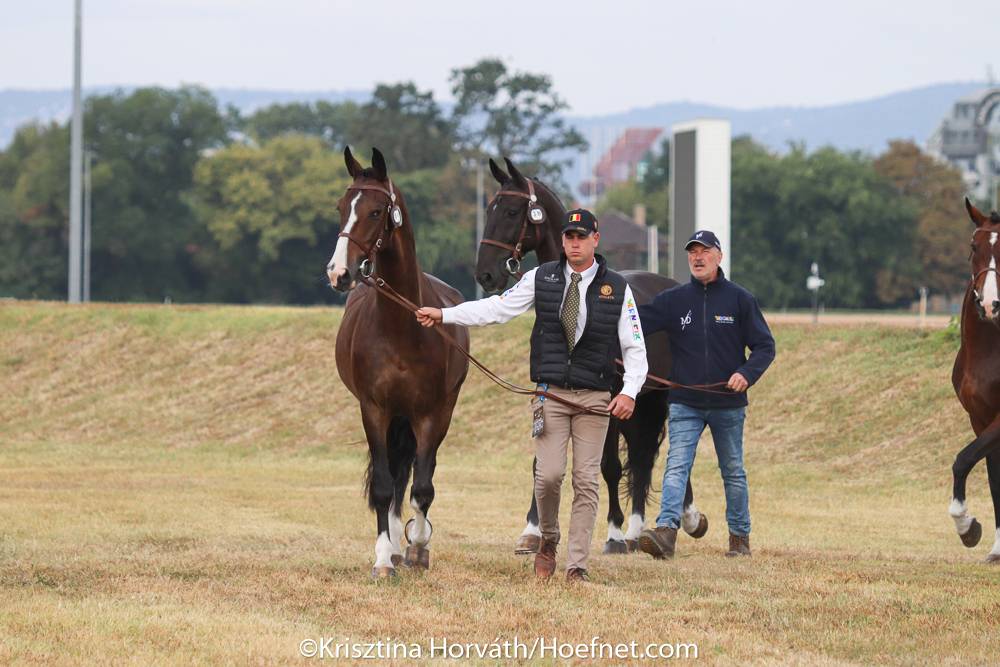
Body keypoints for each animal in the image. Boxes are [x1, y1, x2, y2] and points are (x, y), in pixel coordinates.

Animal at [326, 149, 470, 576]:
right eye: (341, 207)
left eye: (376, 211)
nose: (338, 273)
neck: (402, 328)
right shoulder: (374, 409)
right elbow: (384, 486)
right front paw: (382, 558)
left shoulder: (432, 414)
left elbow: (423, 487)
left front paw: (418, 546)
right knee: (393, 477)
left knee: (418, 474)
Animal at [478, 155, 708, 552]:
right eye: (489, 208)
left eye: (510, 211)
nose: (485, 273)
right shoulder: (549, 395)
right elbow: (542, 463)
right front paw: (532, 530)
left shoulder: (609, 403)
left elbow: (609, 466)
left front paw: (612, 533)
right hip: (639, 404)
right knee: (643, 458)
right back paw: (636, 531)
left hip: (658, 397)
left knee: (670, 453)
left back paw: (677, 521)